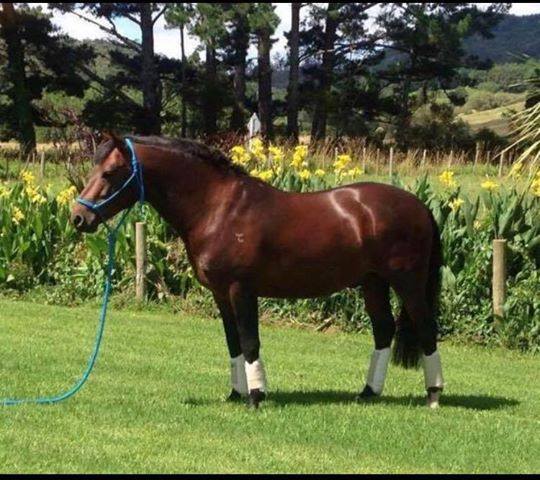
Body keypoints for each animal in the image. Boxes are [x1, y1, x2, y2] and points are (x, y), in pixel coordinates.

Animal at [70, 134, 442, 408]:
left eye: (110, 173)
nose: (78, 217)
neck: (219, 208)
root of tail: (420, 207)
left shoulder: (241, 289)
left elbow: (250, 341)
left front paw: (256, 397)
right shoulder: (221, 294)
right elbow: (233, 342)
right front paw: (235, 394)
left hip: (407, 283)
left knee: (425, 327)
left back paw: (434, 395)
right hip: (372, 283)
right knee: (383, 330)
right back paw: (367, 393)